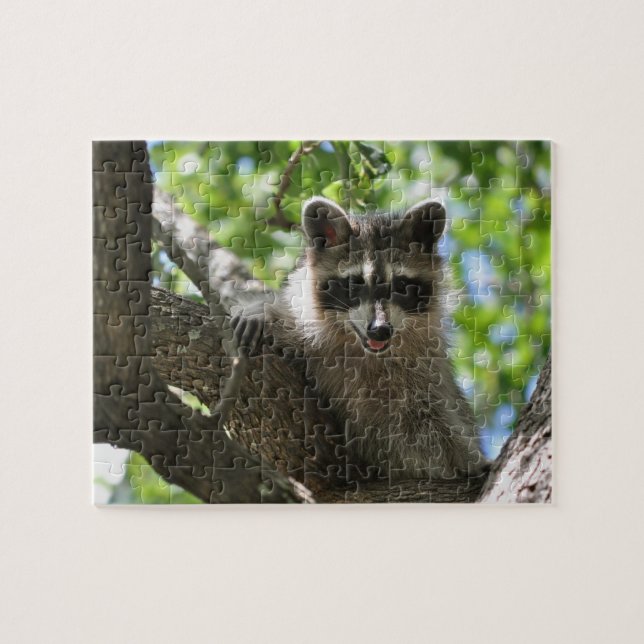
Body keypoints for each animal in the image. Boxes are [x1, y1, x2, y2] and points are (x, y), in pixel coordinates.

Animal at [232, 197, 486, 480]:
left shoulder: (424, 376)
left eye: (401, 286)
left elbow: (433, 434)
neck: (362, 350)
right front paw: (265, 312)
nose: (380, 329)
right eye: (354, 283)